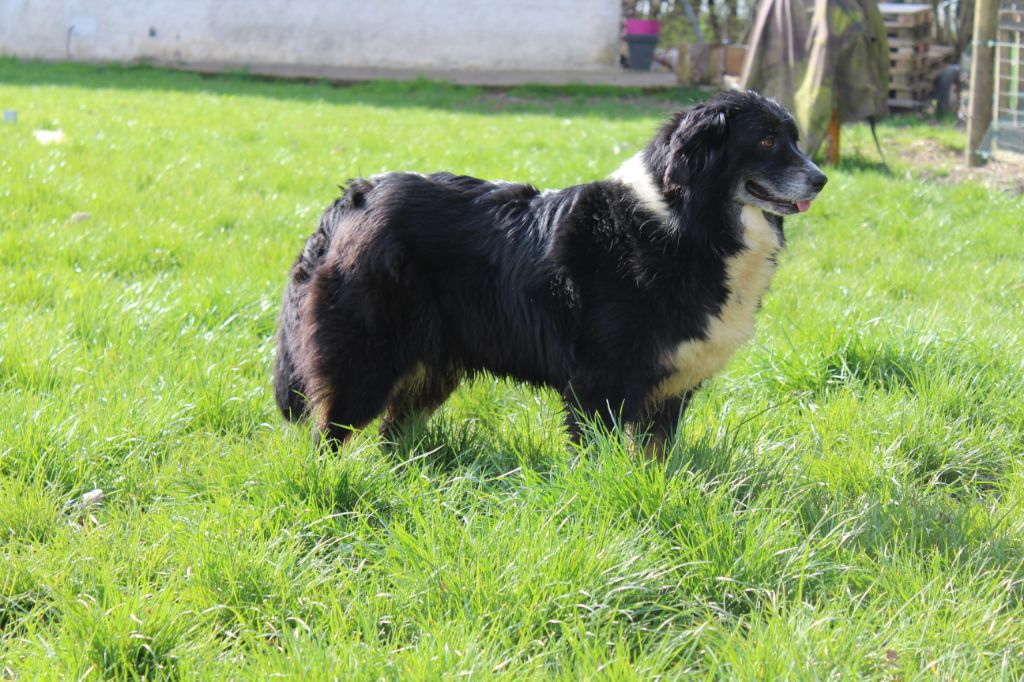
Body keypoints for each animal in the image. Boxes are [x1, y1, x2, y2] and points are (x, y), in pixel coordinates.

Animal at [273, 90, 826, 453]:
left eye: (795, 140)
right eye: (766, 141)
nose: (821, 179)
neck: (687, 221)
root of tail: (355, 197)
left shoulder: (668, 388)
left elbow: (654, 458)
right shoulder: (602, 381)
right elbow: (601, 455)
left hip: (432, 363)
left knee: (394, 433)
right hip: (367, 355)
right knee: (331, 431)